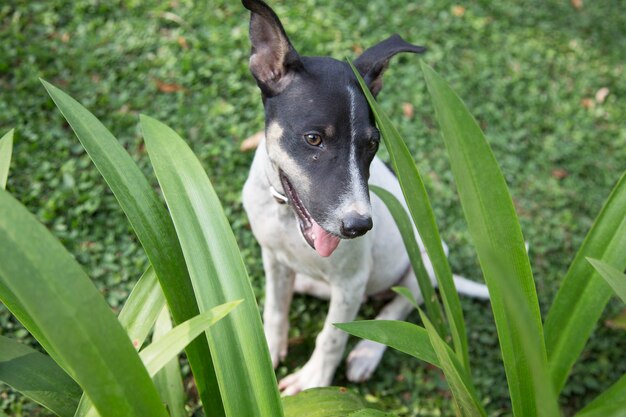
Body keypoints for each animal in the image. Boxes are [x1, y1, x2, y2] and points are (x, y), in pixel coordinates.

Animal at [239, 0, 488, 394]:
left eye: (372, 144)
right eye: (313, 139)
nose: (359, 227)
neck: (287, 219)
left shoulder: (351, 282)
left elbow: (332, 336)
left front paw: (315, 381)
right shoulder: (273, 258)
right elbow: (275, 310)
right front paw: (268, 353)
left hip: (428, 262)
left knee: (403, 307)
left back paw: (368, 353)